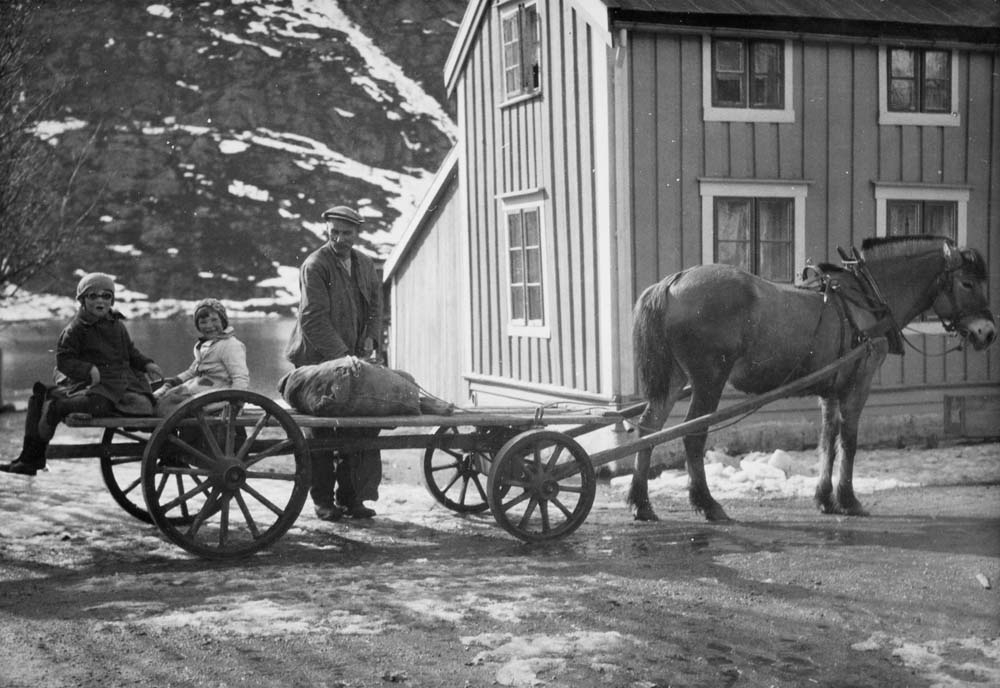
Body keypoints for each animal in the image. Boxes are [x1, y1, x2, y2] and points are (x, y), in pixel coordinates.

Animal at [628, 234, 996, 520]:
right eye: (967, 283)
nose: (987, 333)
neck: (865, 299)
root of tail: (672, 282)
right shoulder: (858, 384)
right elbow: (849, 440)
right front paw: (848, 499)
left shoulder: (830, 389)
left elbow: (827, 440)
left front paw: (824, 498)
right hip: (709, 380)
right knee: (693, 436)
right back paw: (706, 503)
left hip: (675, 378)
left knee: (649, 427)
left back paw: (641, 502)